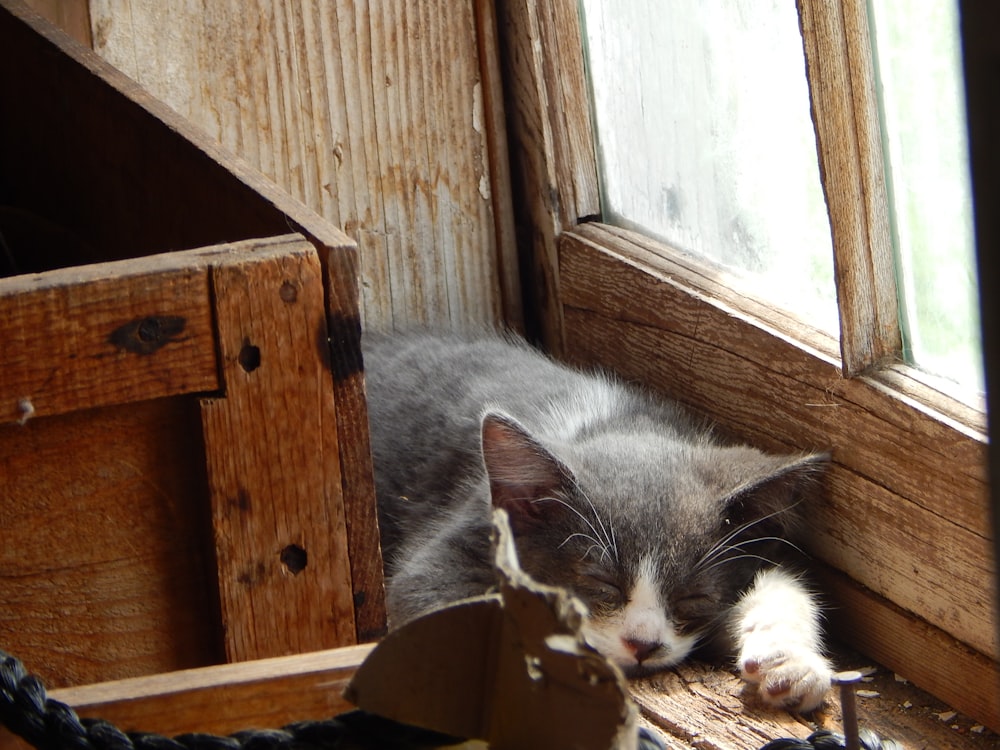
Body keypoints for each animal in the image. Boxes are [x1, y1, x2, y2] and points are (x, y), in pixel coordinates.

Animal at [364, 332, 832, 712]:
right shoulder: (464, 532)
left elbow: (781, 581)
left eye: (694, 598)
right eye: (601, 584)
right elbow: (434, 603)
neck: (612, 424)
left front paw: (789, 662)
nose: (643, 644)